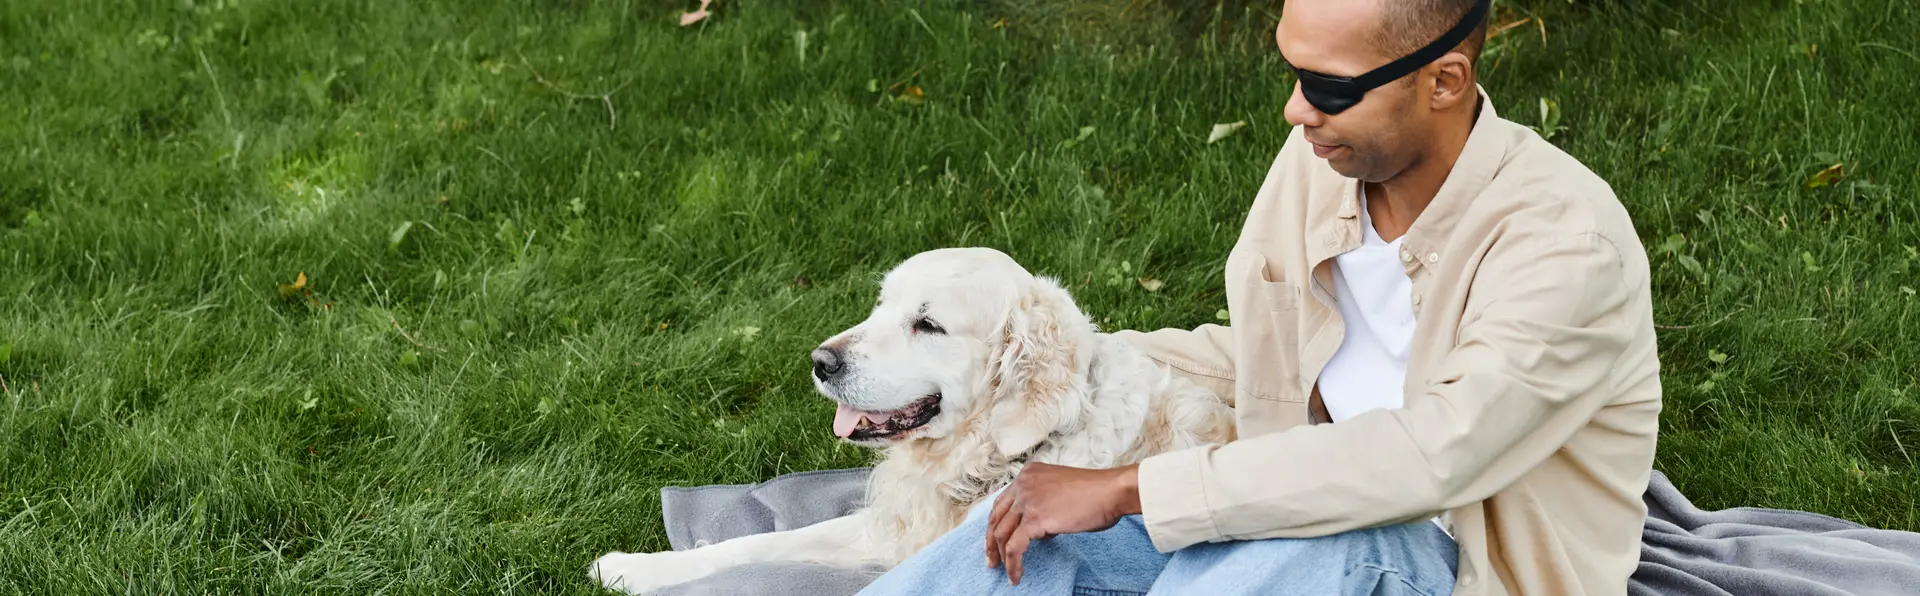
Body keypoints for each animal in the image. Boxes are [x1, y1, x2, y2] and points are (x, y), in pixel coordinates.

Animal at [591, 246, 1236, 592]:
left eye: (928, 324)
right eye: (882, 304)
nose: (820, 361)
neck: (990, 458)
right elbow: (758, 545)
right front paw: (632, 568)